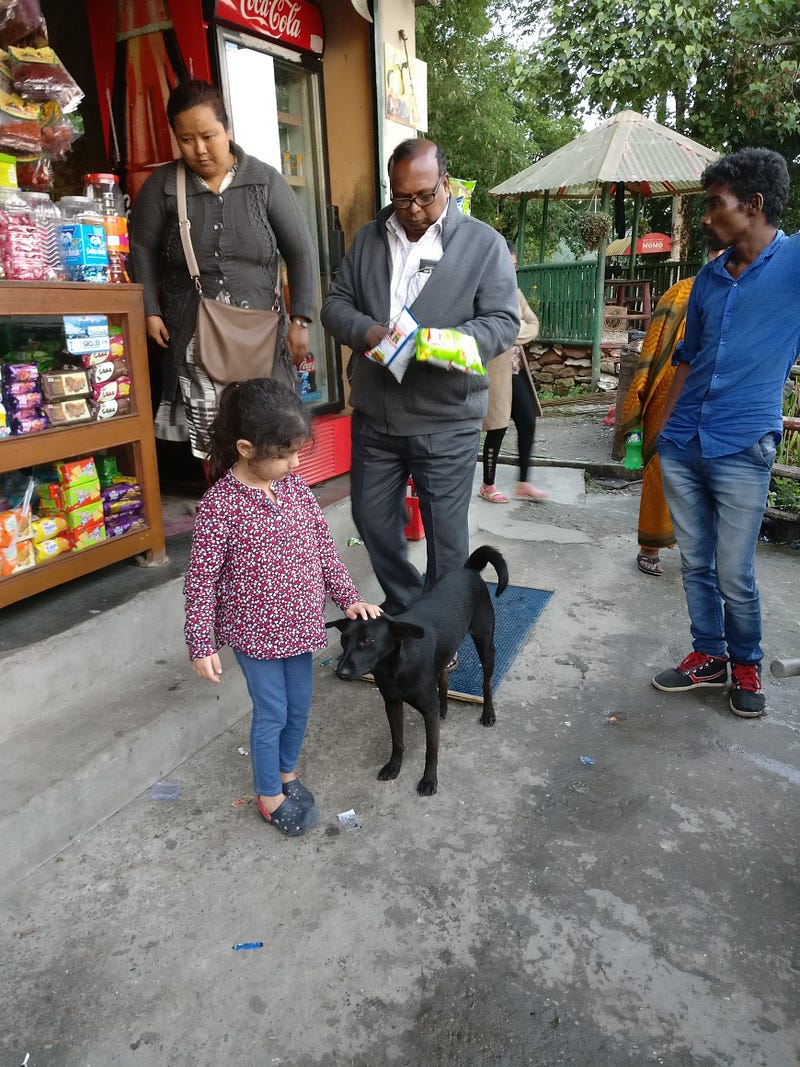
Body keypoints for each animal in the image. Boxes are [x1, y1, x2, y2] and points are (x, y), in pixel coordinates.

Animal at [328, 545, 508, 796]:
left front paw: (429, 780)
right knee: (443, 677)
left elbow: (431, 751)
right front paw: (394, 767)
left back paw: (488, 713)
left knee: (486, 682)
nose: (341, 672)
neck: (393, 668)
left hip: (485, 642)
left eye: (368, 641)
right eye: (344, 640)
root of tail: (468, 570)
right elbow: (397, 741)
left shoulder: (427, 713)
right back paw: (444, 707)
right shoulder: (392, 704)